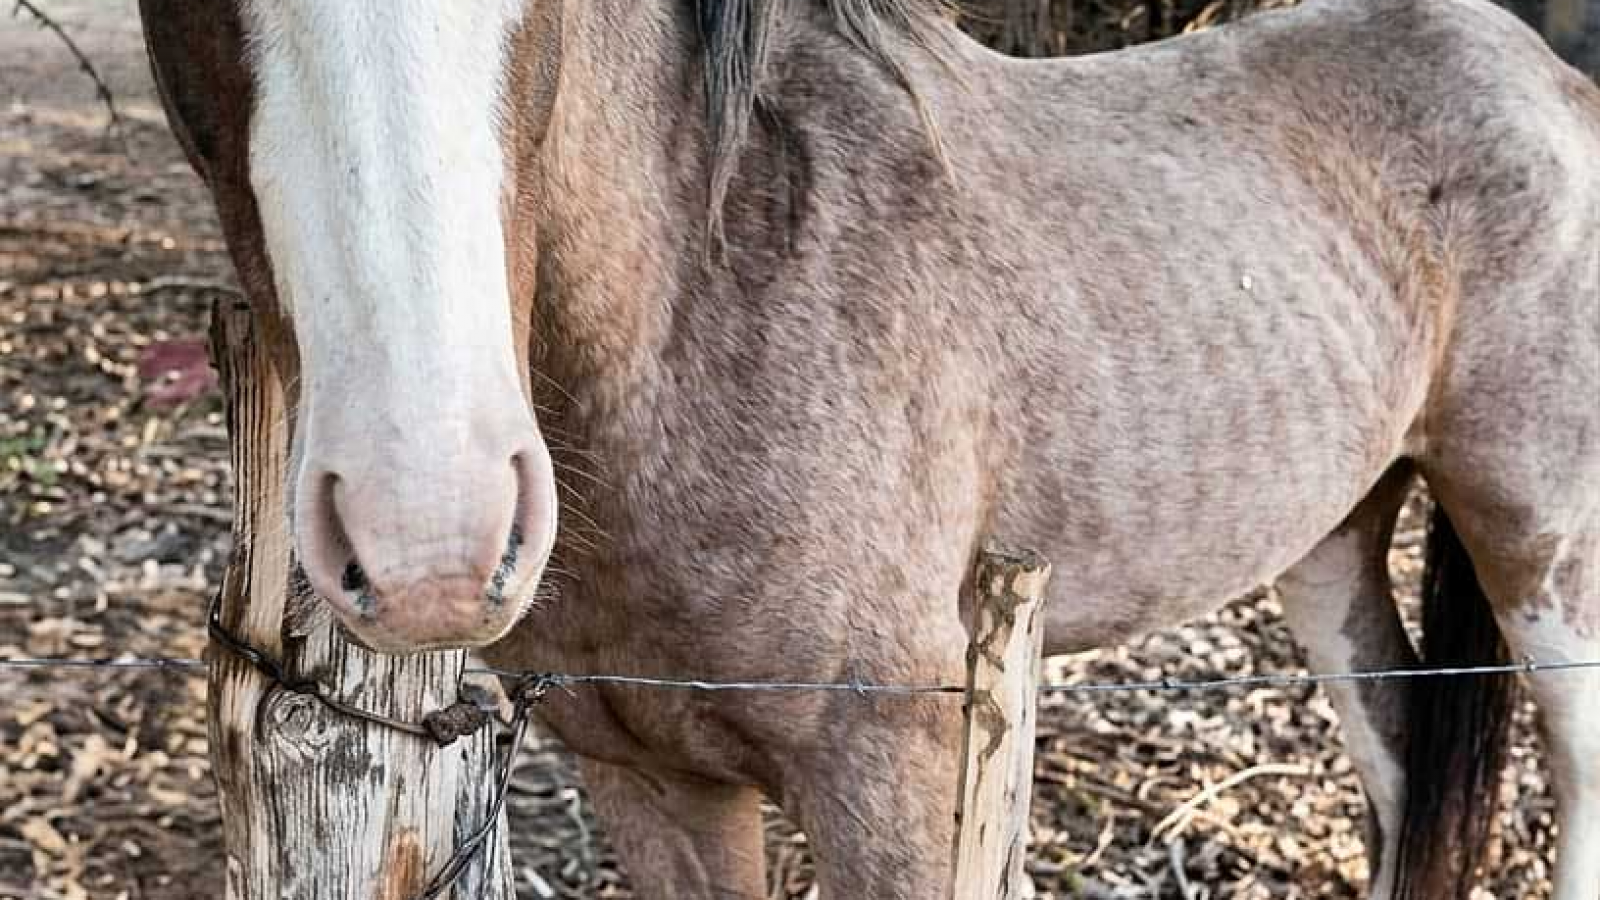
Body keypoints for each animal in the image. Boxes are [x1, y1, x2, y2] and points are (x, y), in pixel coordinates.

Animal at [138, 0, 1599, 896]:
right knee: (1404, 761)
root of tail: (1546, 74)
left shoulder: (894, 770)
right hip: (1330, 538)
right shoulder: (648, 778)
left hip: (1539, 542)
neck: (713, 297)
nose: (429, 530)